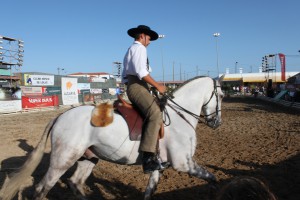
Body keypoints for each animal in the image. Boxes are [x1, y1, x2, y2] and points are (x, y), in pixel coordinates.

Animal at [0, 76, 224, 199]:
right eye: (221, 96)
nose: (217, 123)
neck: (179, 116)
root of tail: (60, 116)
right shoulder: (183, 163)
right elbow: (212, 179)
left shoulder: (160, 166)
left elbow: (149, 192)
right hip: (62, 160)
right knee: (42, 188)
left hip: (88, 158)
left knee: (75, 183)